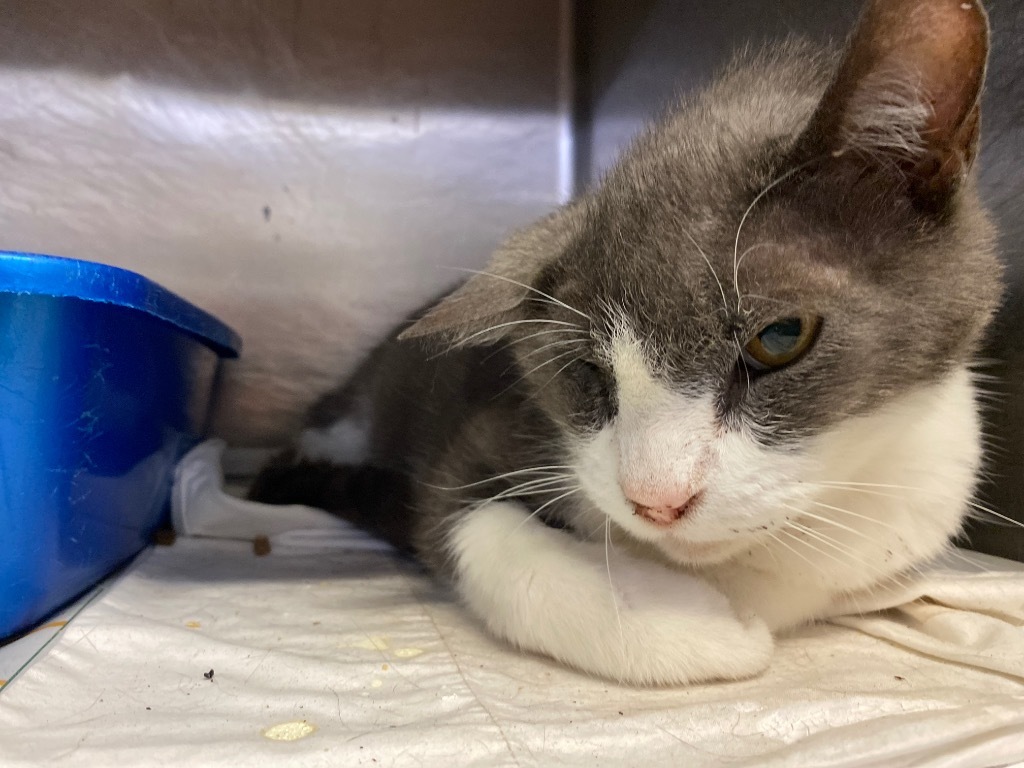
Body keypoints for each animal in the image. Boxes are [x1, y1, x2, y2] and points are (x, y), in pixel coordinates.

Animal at [247, 0, 999, 684]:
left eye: (781, 337)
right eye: (586, 371)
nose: (657, 502)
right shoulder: (484, 433)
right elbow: (461, 521)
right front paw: (696, 627)